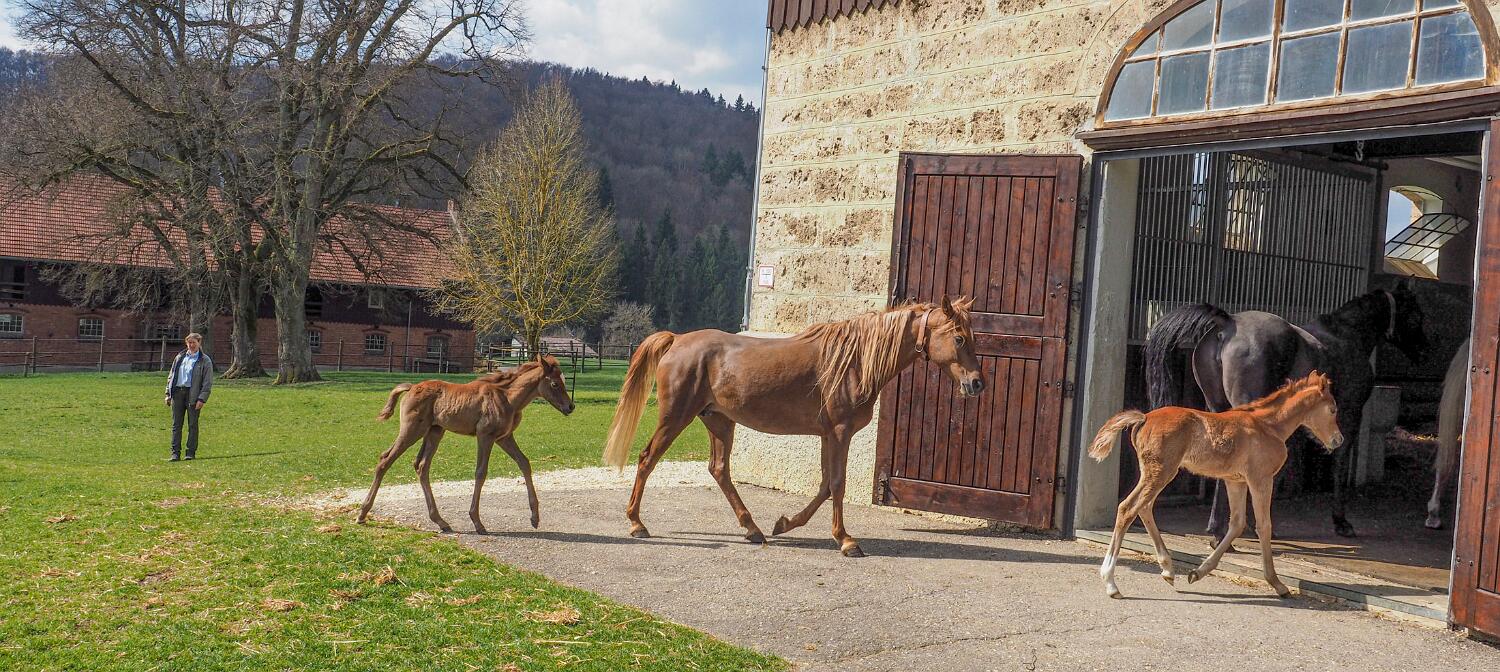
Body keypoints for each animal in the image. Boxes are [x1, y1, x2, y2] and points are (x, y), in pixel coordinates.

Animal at [356, 356, 576, 535]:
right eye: (555, 384)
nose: (570, 407)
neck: (508, 398)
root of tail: (411, 387)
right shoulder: (485, 436)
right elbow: (481, 472)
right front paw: (477, 522)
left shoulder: (504, 437)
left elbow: (524, 463)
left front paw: (535, 518)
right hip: (412, 430)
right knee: (385, 460)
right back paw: (362, 513)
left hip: (435, 431)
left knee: (421, 465)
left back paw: (441, 521)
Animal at [601, 297, 983, 557]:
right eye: (959, 338)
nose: (978, 383)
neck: (855, 361)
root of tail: (677, 339)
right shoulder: (840, 432)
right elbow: (837, 485)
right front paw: (846, 540)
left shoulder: (828, 435)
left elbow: (826, 486)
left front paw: (786, 524)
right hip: (675, 417)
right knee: (647, 459)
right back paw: (636, 523)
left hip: (719, 421)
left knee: (719, 469)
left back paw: (752, 528)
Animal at [1090, 372, 1344, 599]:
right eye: (1333, 409)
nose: (1338, 440)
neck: (1269, 426)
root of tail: (1144, 418)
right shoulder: (1261, 478)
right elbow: (1263, 526)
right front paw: (1277, 584)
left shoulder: (1235, 481)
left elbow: (1237, 524)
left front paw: (1197, 572)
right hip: (1160, 472)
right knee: (1128, 508)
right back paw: (1111, 582)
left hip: (1154, 473)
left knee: (1143, 507)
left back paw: (1168, 570)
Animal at [1143, 281, 1427, 539]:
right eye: (1415, 313)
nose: (1423, 352)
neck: (1348, 337)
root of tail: (1229, 323)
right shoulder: (1350, 413)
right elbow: (1338, 463)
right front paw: (1341, 522)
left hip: (1218, 406)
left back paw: (1217, 528)